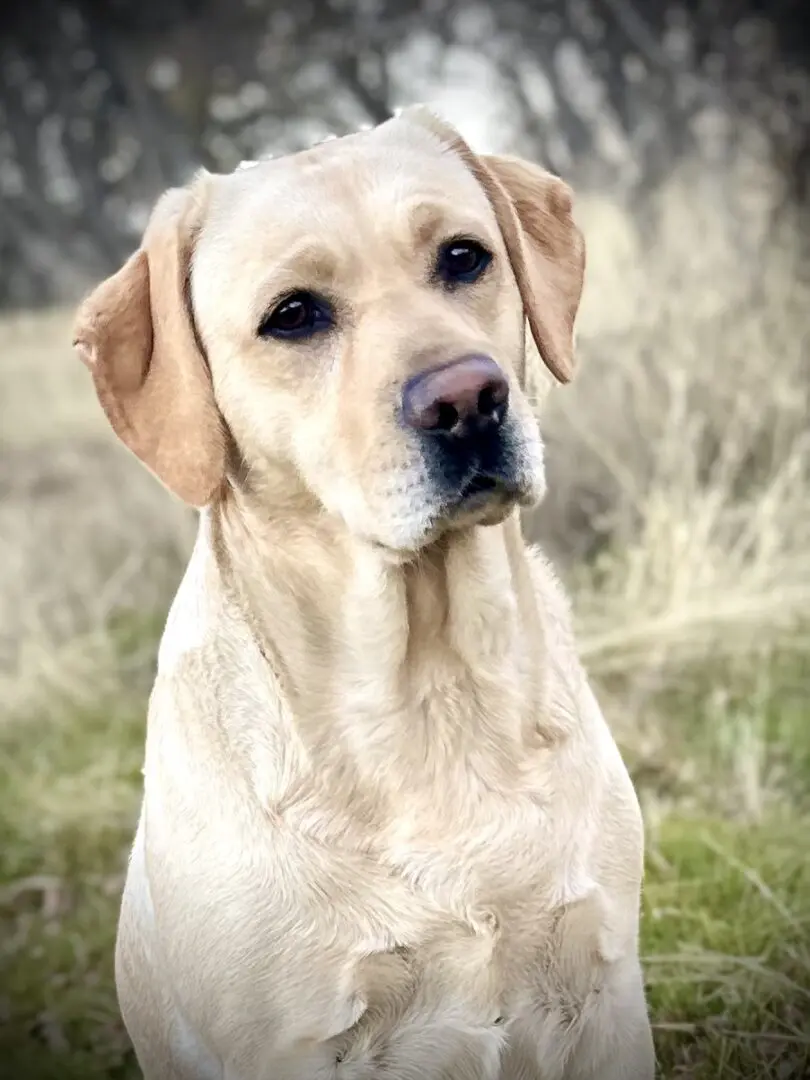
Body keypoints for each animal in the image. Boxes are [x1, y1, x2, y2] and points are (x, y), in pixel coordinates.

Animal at [74, 107, 660, 1080]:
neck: (433, 695)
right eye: (293, 316)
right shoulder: (294, 1049)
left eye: (464, 258)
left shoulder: (605, 985)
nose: (468, 399)